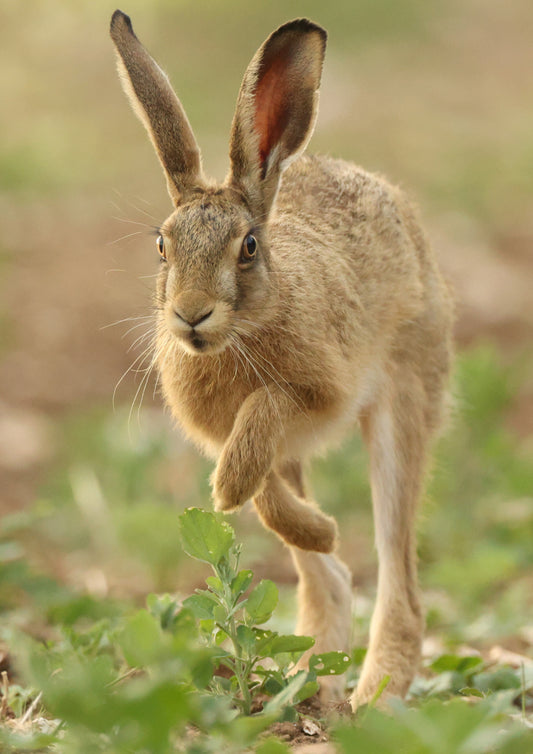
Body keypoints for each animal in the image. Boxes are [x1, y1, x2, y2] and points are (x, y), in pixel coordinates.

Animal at [110, 10, 453, 709]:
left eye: (247, 247)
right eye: (162, 245)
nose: (190, 314)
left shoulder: (320, 392)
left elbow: (267, 411)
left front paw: (292, 517)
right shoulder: (228, 435)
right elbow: (257, 488)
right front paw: (306, 524)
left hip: (406, 398)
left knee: (399, 576)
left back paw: (371, 697)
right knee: (332, 581)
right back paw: (311, 672)